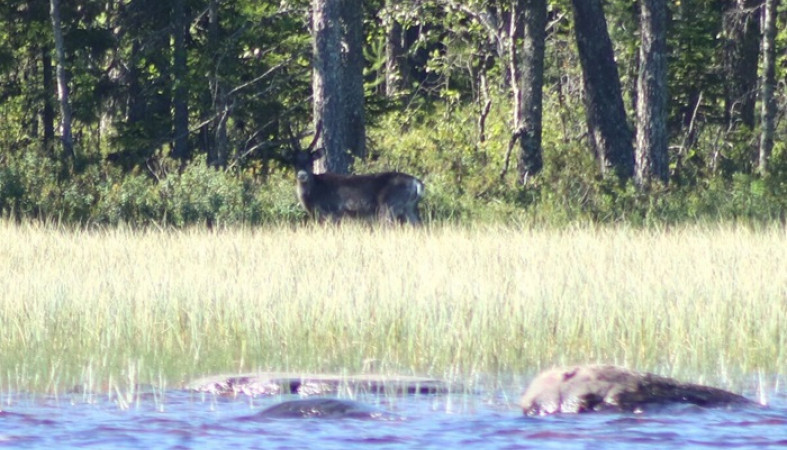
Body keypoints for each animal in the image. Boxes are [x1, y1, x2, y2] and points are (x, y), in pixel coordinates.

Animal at [292, 123, 424, 225]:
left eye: (311, 161)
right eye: (294, 162)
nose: (302, 175)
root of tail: (417, 183)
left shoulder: (331, 213)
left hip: (388, 207)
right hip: (409, 208)